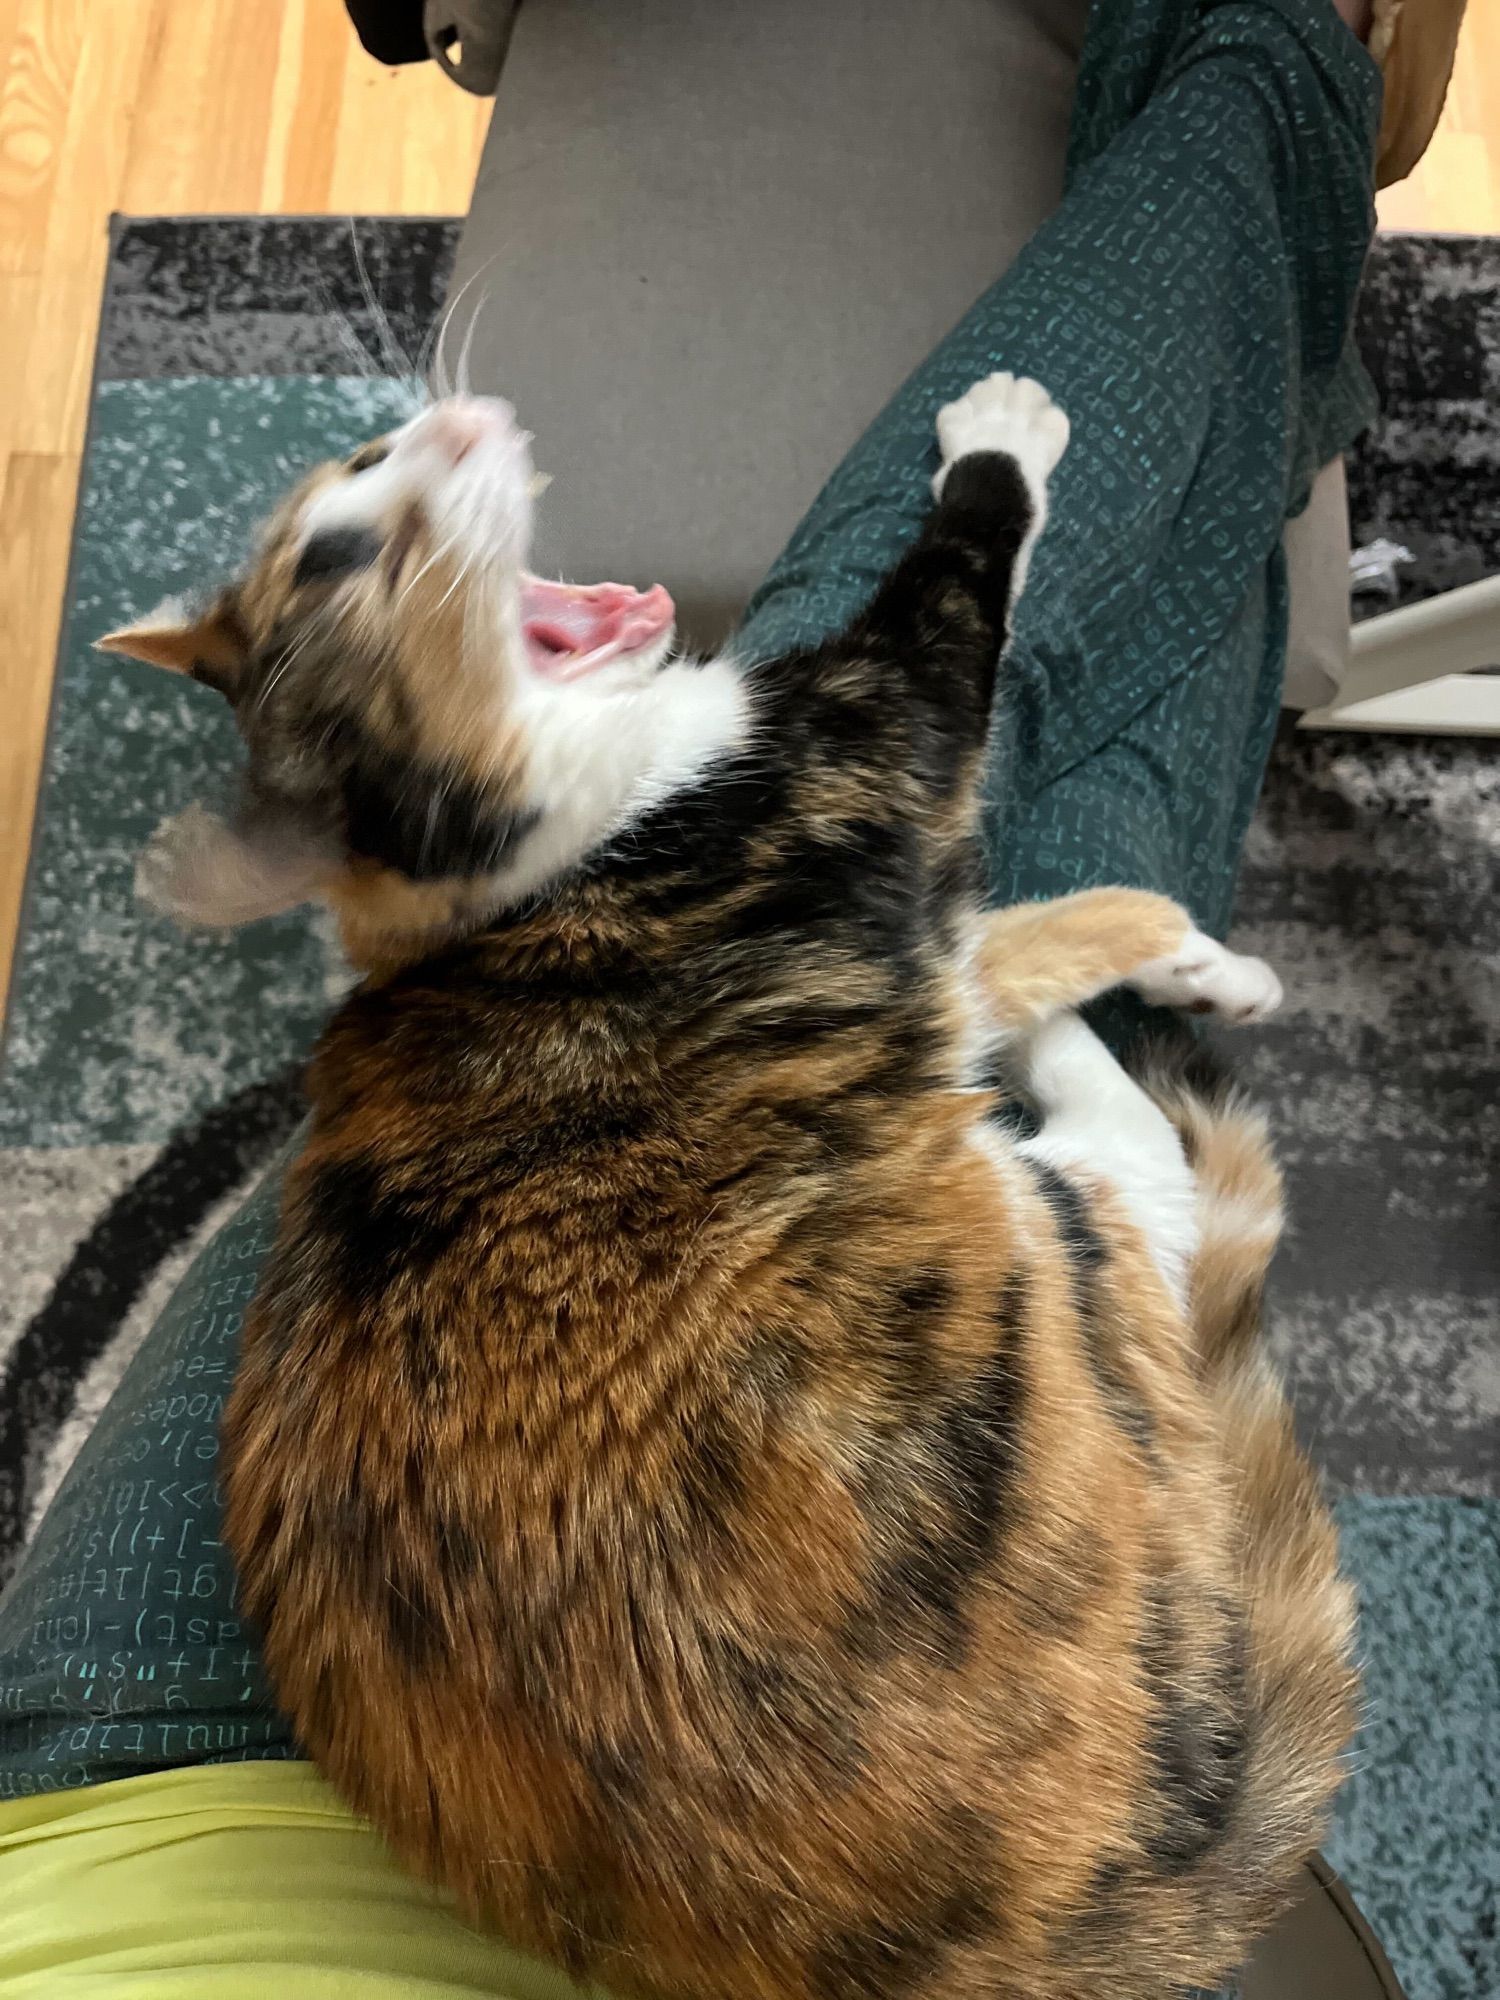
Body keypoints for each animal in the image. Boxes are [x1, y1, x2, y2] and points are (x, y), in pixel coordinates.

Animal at [100, 376, 1360, 2000]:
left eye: (362, 466)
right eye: (338, 555)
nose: (453, 416)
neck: (525, 862)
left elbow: (999, 938)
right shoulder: (868, 738)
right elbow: (969, 618)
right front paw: (1002, 434)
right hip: (1033, 1289)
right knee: (1117, 1141)